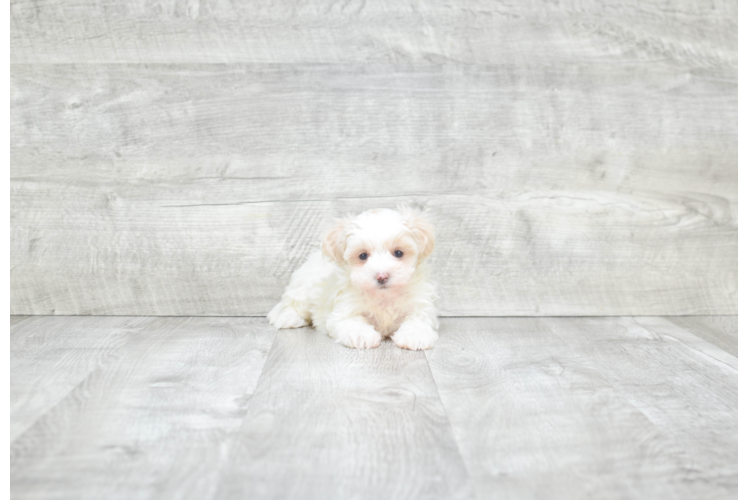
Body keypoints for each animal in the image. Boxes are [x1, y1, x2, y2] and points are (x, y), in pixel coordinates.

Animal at [268, 205, 438, 350]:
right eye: (363, 256)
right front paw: (362, 336)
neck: (383, 297)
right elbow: (352, 322)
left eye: (398, 253)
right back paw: (288, 318)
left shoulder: (419, 304)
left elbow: (418, 319)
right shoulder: (344, 309)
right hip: (302, 290)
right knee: (291, 305)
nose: (382, 276)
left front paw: (415, 335)